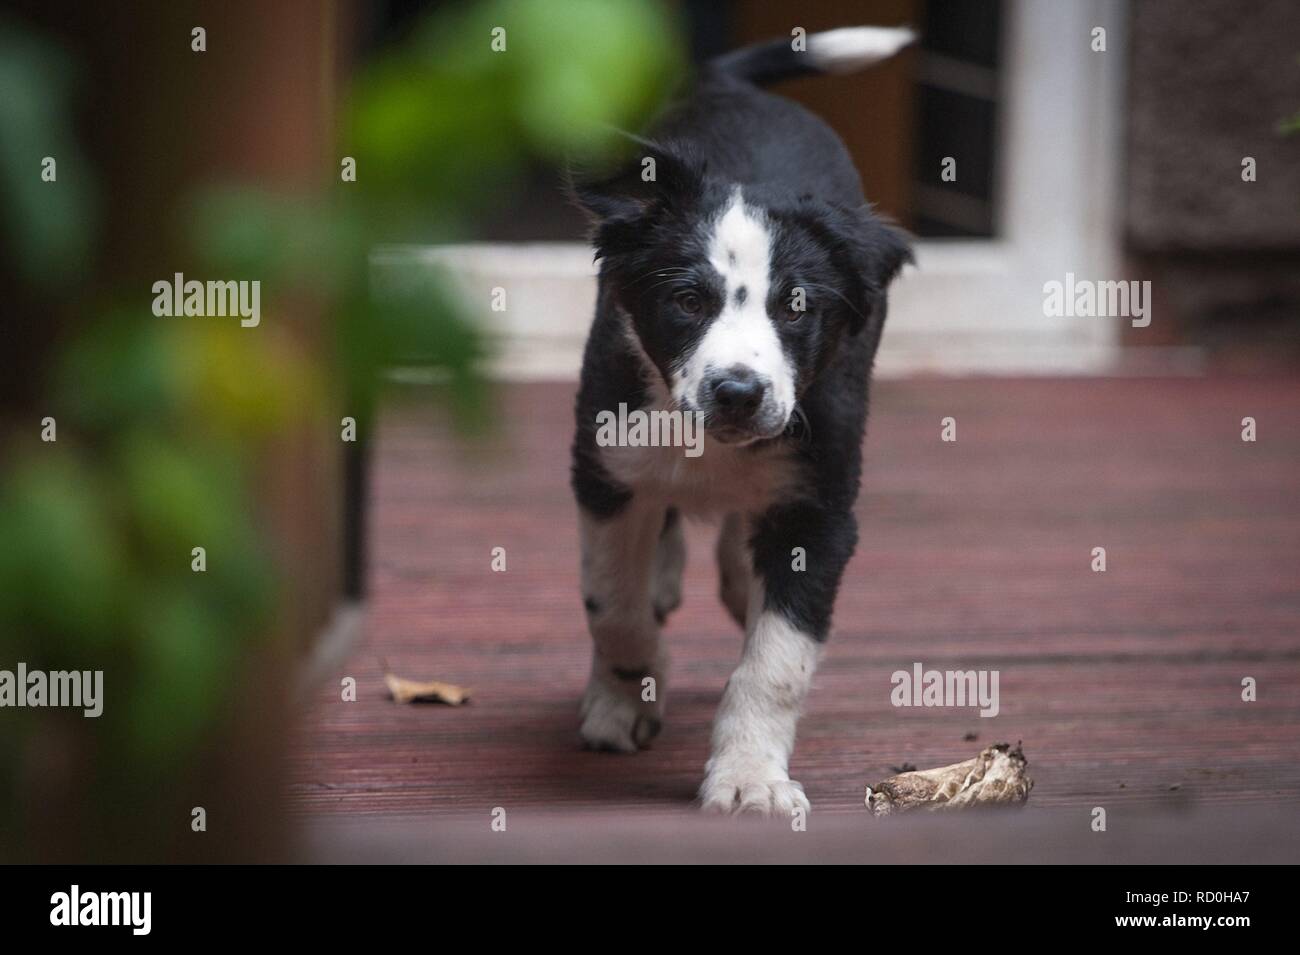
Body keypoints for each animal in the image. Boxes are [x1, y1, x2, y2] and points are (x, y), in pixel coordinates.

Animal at [569, 26, 915, 815]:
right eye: (688, 301)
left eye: (797, 307)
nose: (738, 393)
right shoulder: (605, 469)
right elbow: (613, 606)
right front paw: (625, 699)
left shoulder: (821, 504)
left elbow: (777, 661)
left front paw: (750, 777)